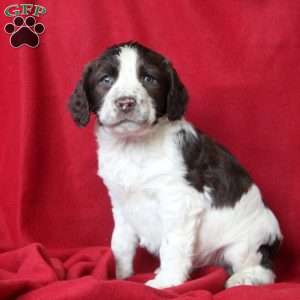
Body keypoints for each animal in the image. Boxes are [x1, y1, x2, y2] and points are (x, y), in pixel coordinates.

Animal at [69, 41, 282, 288]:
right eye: (106, 80)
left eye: (149, 79)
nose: (125, 103)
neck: (133, 146)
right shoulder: (121, 203)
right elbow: (120, 244)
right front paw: (120, 277)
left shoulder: (179, 201)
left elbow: (172, 245)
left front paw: (166, 283)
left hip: (245, 244)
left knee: (264, 270)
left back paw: (245, 278)